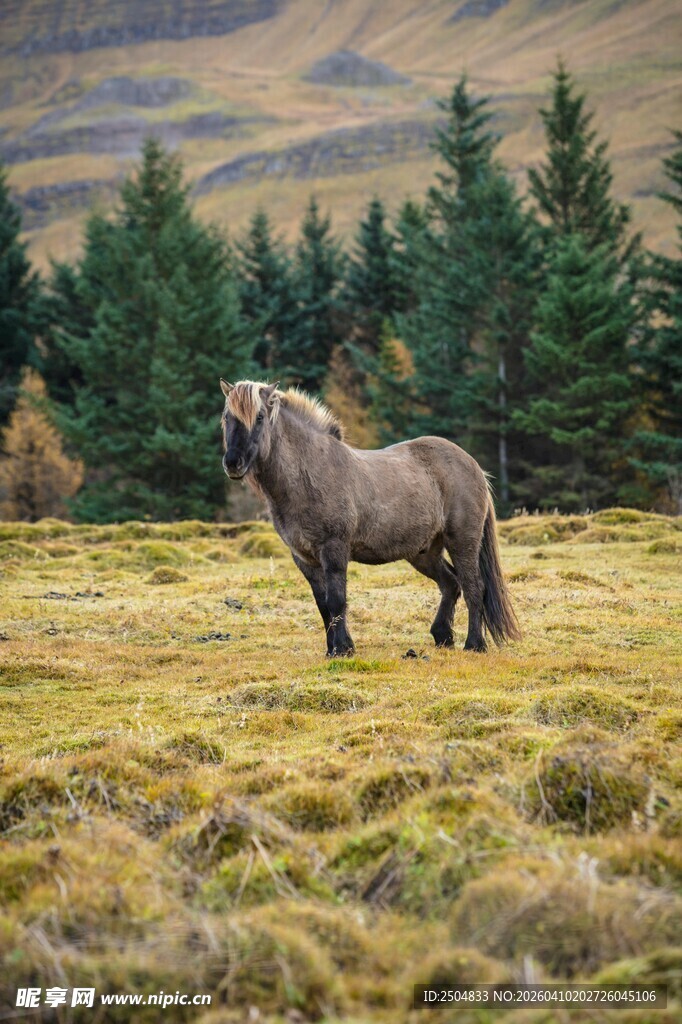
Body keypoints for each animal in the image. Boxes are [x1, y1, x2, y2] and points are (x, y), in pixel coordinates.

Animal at [220, 379, 520, 657]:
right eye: (226, 417)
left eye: (259, 417)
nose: (233, 463)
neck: (311, 474)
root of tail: (473, 465)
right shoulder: (304, 559)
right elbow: (323, 604)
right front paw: (332, 649)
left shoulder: (334, 550)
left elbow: (337, 600)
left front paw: (343, 649)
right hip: (423, 552)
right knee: (451, 584)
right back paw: (442, 636)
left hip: (462, 541)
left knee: (473, 587)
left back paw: (475, 644)